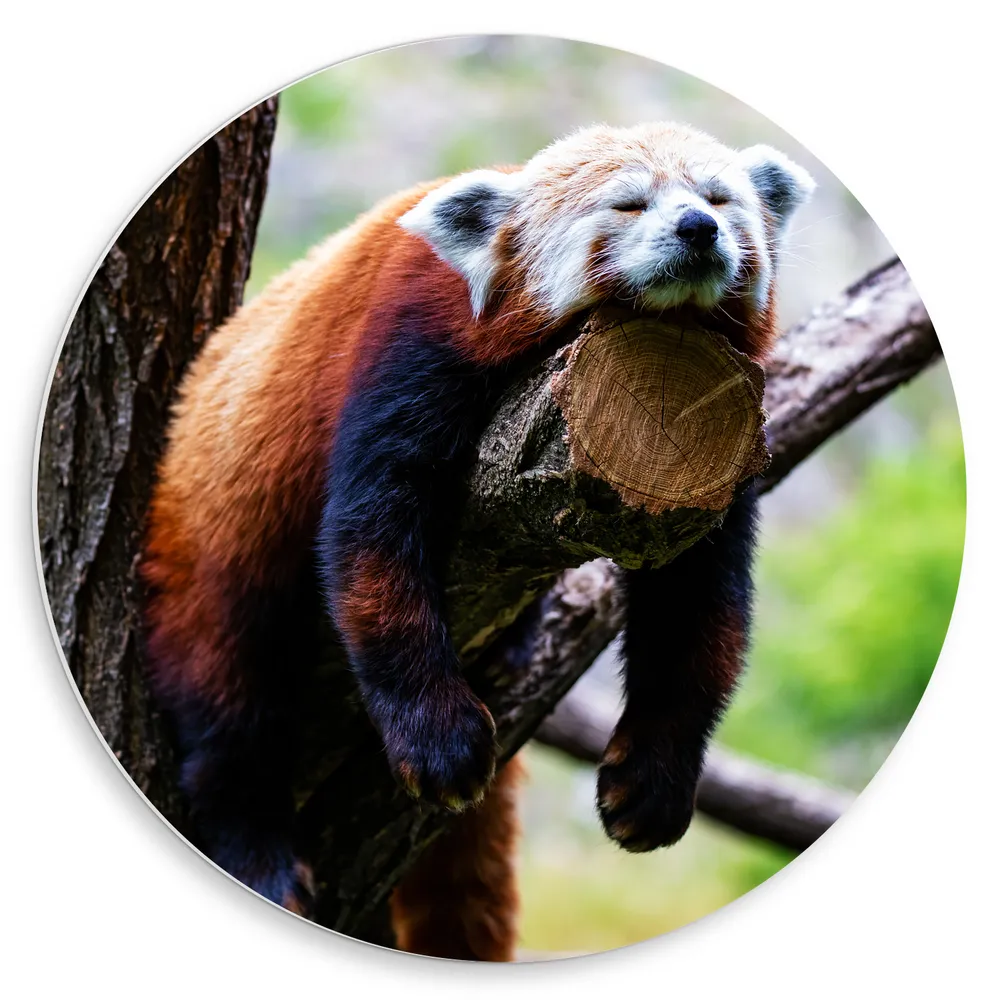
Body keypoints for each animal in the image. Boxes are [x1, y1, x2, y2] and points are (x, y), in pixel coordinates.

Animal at [140, 121, 814, 960]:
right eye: (629, 203)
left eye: (720, 198)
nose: (698, 228)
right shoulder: (410, 339)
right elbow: (369, 541)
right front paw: (440, 744)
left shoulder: (715, 432)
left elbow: (701, 609)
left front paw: (653, 782)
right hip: (205, 542)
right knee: (226, 692)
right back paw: (256, 845)